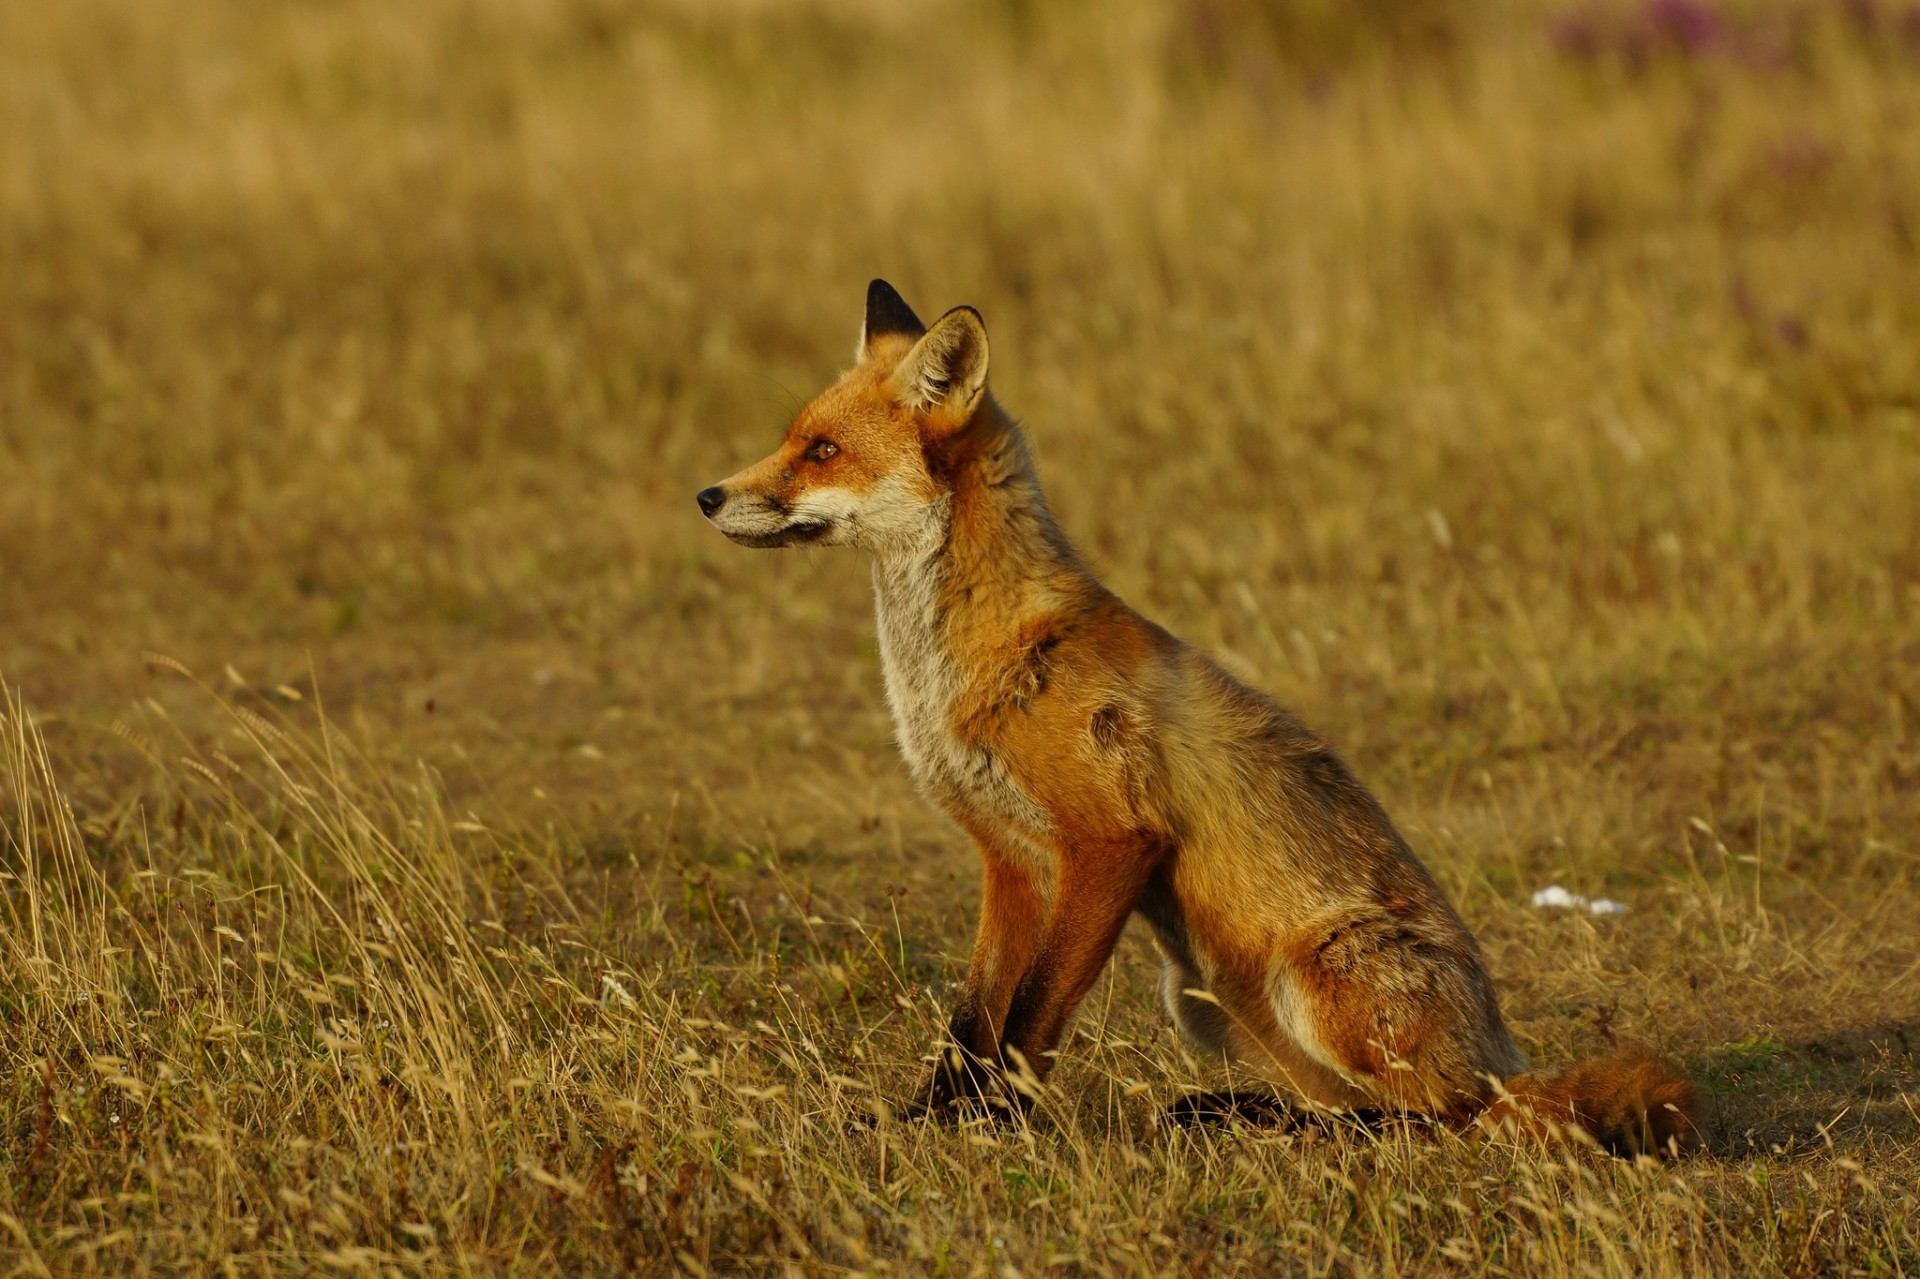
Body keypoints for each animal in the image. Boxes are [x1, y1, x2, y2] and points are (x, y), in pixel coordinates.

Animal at [696, 280, 1699, 1156]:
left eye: (823, 451)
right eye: (793, 438)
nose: (706, 495)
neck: (956, 668)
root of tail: (1502, 1059)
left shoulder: (1110, 841)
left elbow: (1029, 1018)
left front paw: (999, 1128)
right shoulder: (1008, 857)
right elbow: (971, 1019)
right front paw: (928, 1124)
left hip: (1318, 977)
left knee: (1442, 1118)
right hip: (1202, 997)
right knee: (1344, 1102)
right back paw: (1243, 1116)